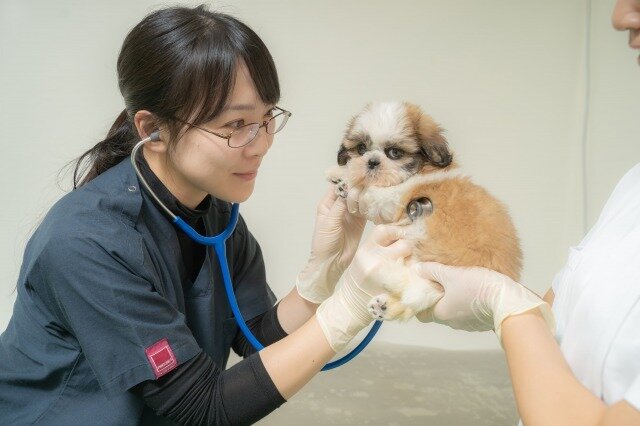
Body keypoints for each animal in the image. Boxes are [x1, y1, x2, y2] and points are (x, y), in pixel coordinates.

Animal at [328, 101, 524, 322]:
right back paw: (385, 306)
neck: (419, 171)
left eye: (394, 153)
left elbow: (370, 191)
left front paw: (345, 180)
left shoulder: (395, 199)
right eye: (361, 148)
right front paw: (342, 176)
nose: (371, 161)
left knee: (421, 292)